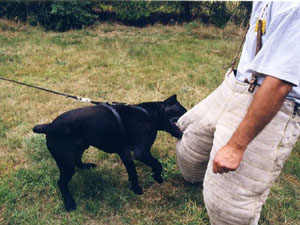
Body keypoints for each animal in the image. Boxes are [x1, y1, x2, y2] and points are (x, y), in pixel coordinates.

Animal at [33, 94, 188, 211]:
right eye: (182, 111)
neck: (149, 115)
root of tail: (48, 127)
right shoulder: (141, 153)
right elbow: (156, 164)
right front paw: (156, 179)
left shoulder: (125, 153)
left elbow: (132, 171)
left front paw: (134, 187)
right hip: (66, 163)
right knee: (61, 183)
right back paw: (69, 202)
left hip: (80, 147)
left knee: (77, 161)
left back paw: (87, 166)